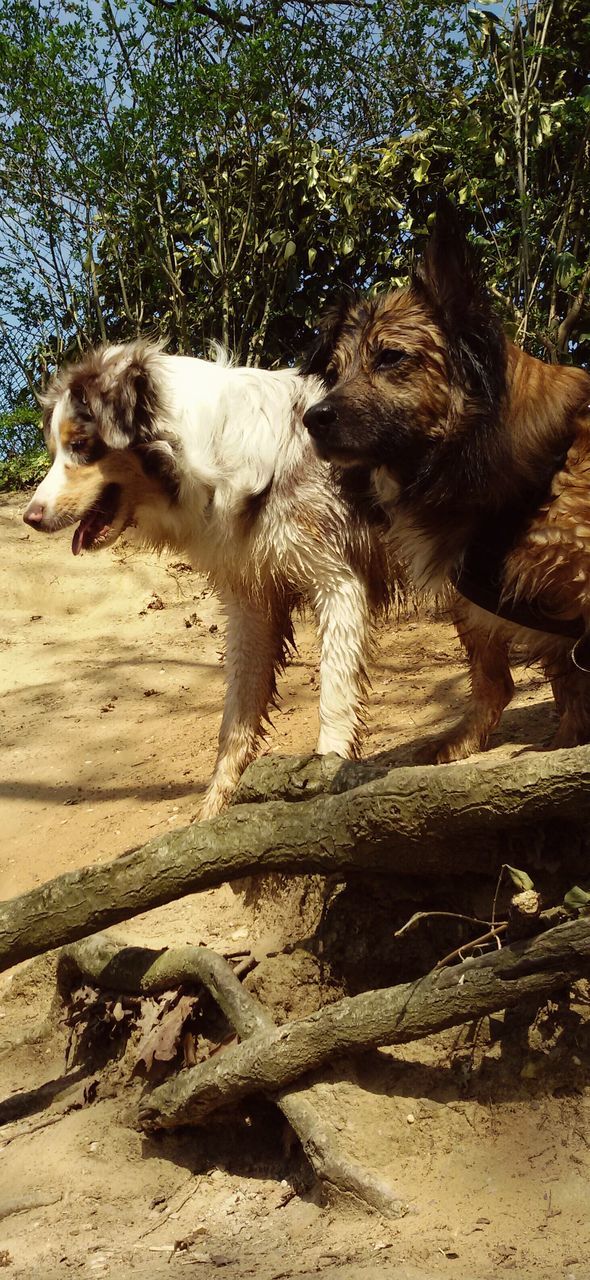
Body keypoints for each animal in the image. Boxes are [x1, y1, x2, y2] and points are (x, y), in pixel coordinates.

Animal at [23, 345, 394, 814]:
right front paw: (212, 815)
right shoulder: (251, 596)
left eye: (81, 445)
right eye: (55, 449)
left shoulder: (339, 583)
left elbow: (333, 703)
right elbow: (235, 722)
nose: (29, 517)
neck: (212, 455)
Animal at [300, 203, 588, 752]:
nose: (312, 418)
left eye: (390, 357)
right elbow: (499, 682)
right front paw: (470, 740)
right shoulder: (477, 601)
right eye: (335, 370)